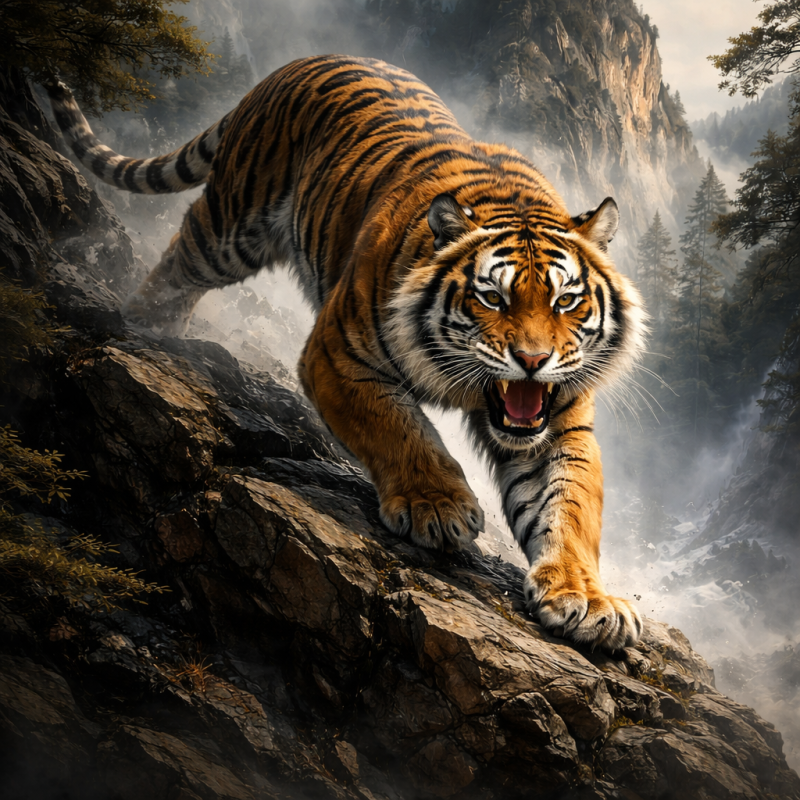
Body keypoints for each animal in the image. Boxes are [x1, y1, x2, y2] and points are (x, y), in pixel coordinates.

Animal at [47, 54, 646, 651]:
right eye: (492, 297)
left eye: (565, 300)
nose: (533, 361)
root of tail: (301, 62)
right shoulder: (337, 357)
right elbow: (399, 431)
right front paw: (437, 507)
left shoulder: (560, 421)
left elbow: (569, 508)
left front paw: (587, 600)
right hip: (229, 227)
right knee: (177, 263)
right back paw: (148, 325)